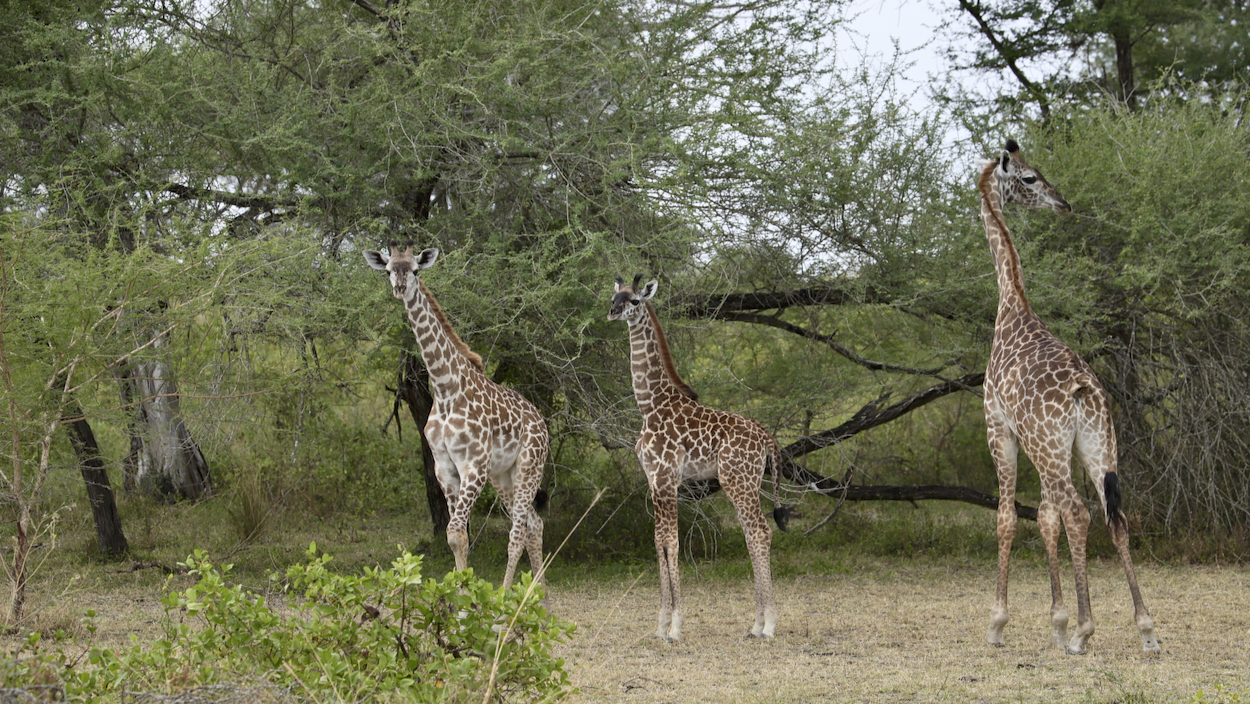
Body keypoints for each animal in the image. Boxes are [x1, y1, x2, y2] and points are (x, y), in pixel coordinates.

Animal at [365, 242, 552, 590]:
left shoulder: (473, 465)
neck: (444, 387)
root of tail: (542, 423)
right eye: (388, 270)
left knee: (518, 530)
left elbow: (455, 531)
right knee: (534, 523)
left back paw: (508, 595)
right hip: (502, 475)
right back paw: (540, 598)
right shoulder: (444, 467)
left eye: (415, 269)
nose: (400, 288)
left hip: (528, 467)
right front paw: (461, 593)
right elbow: (456, 536)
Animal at [607, 276, 790, 645]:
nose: (612, 312)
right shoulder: (653, 480)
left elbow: (671, 543)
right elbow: (659, 542)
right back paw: (755, 625)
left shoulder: (665, 478)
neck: (650, 405)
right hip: (746, 481)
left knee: (760, 531)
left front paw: (675, 627)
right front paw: (661, 626)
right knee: (752, 535)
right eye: (614, 297)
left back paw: (768, 626)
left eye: (634, 301)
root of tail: (765, 436)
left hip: (738, 480)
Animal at [975, 139, 1160, 655]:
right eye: (1031, 177)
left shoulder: (1000, 428)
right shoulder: (1040, 444)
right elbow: (1044, 517)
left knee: (1078, 511)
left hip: (1051, 447)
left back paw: (1084, 631)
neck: (1012, 304)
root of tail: (1083, 391)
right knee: (1116, 517)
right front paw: (1055, 620)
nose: (1064, 203)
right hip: (1096, 445)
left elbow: (1009, 517)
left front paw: (1000, 623)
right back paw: (1146, 630)